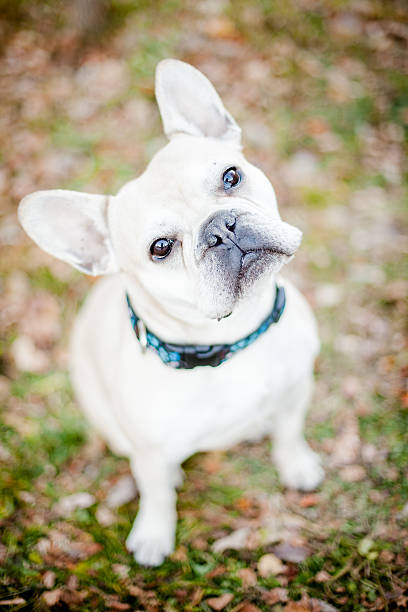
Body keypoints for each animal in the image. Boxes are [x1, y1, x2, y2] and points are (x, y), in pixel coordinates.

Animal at [17, 59, 324, 568]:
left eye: (231, 177)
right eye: (160, 248)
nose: (222, 227)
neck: (232, 340)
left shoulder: (297, 389)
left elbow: (289, 432)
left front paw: (296, 464)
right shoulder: (149, 447)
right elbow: (157, 492)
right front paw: (154, 534)